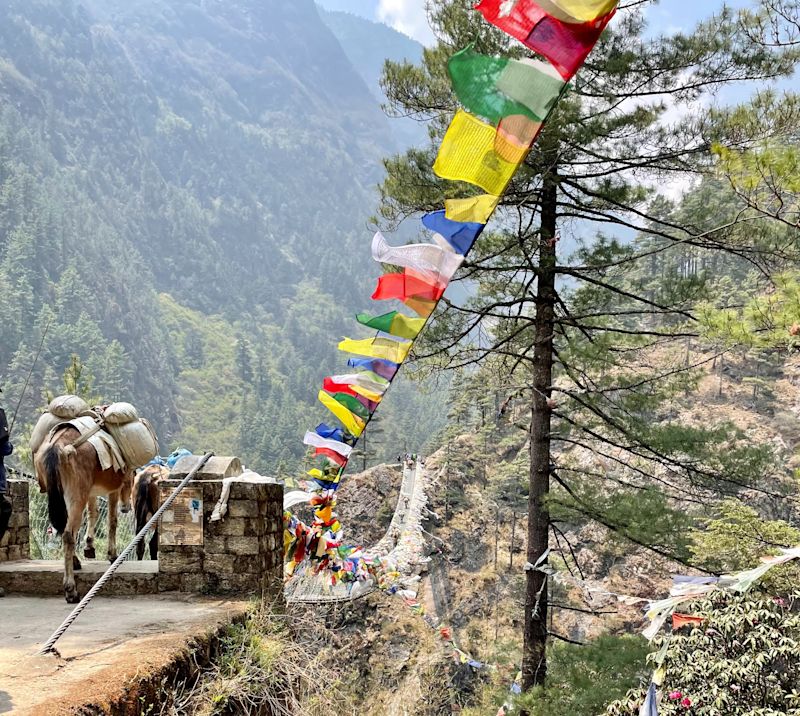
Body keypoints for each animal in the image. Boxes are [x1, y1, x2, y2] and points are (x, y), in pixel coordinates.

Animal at [34, 426, 134, 604]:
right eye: (133, 478)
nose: (126, 507)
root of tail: (56, 448)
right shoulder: (113, 489)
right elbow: (112, 521)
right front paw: (112, 555)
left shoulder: (91, 491)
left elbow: (93, 512)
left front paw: (89, 546)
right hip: (76, 496)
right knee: (68, 535)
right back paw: (71, 590)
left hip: (64, 496)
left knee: (66, 531)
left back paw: (75, 562)